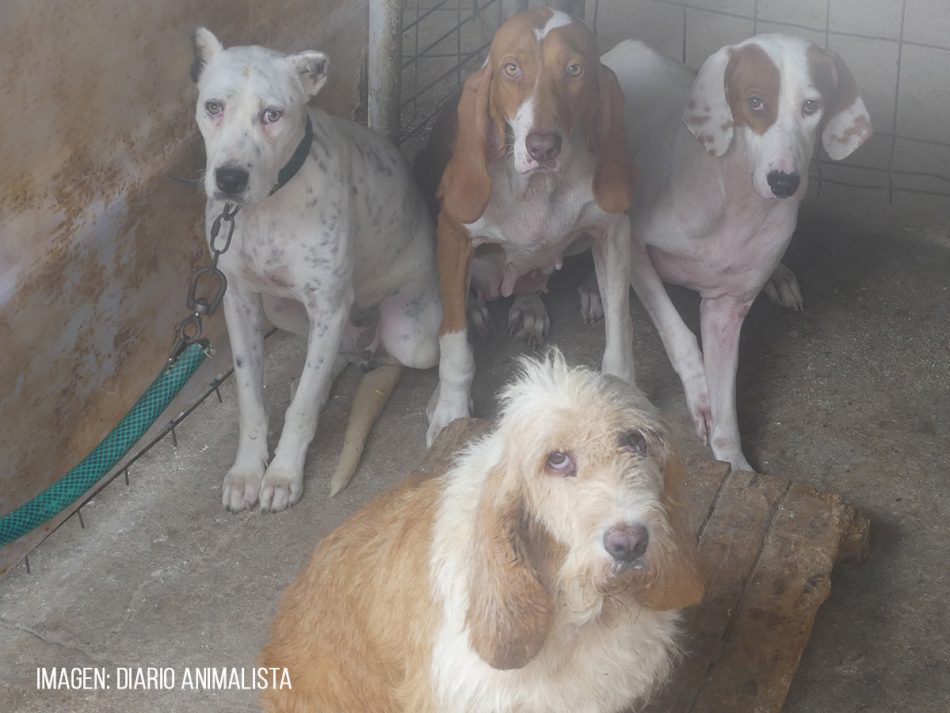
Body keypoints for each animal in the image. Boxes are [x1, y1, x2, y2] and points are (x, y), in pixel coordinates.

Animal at [196, 26, 446, 506]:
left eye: (272, 115)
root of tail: (374, 346)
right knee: (337, 354)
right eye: (213, 107)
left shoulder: (328, 305)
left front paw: (282, 474)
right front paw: (247, 470)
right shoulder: (241, 301)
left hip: (411, 338)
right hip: (284, 310)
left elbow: (302, 410)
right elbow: (251, 400)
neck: (268, 205)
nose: (230, 179)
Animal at [422, 8, 640, 444]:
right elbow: (454, 347)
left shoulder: (613, 229)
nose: (542, 147)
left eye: (574, 70)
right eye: (511, 69)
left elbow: (620, 325)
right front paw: (451, 413)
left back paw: (539, 301)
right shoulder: (453, 235)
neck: (537, 188)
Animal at [592, 33, 872, 470]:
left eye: (812, 106)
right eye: (755, 102)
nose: (784, 182)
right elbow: (679, 335)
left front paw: (734, 463)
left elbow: (727, 407)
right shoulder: (634, 247)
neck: (734, 204)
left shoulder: (727, 308)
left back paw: (782, 277)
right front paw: (701, 395)